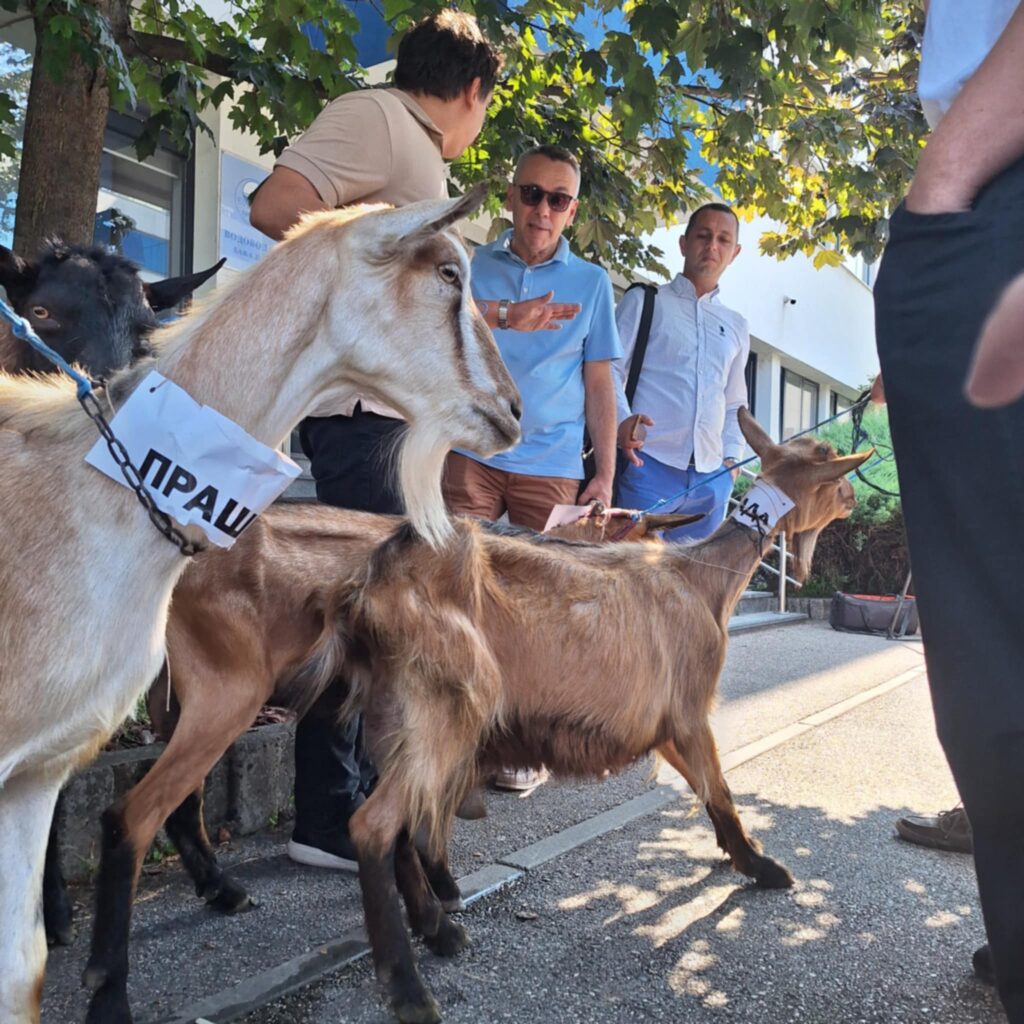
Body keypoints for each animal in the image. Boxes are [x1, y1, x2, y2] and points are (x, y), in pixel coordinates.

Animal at [307, 409, 868, 1024]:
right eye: (830, 469)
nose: (854, 499)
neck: (703, 578)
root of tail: (370, 588)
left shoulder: (663, 726)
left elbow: (705, 790)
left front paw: (740, 855)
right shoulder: (689, 710)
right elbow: (719, 789)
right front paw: (761, 867)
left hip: (399, 717)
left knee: (405, 821)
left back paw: (438, 928)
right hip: (443, 708)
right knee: (375, 824)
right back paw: (407, 985)